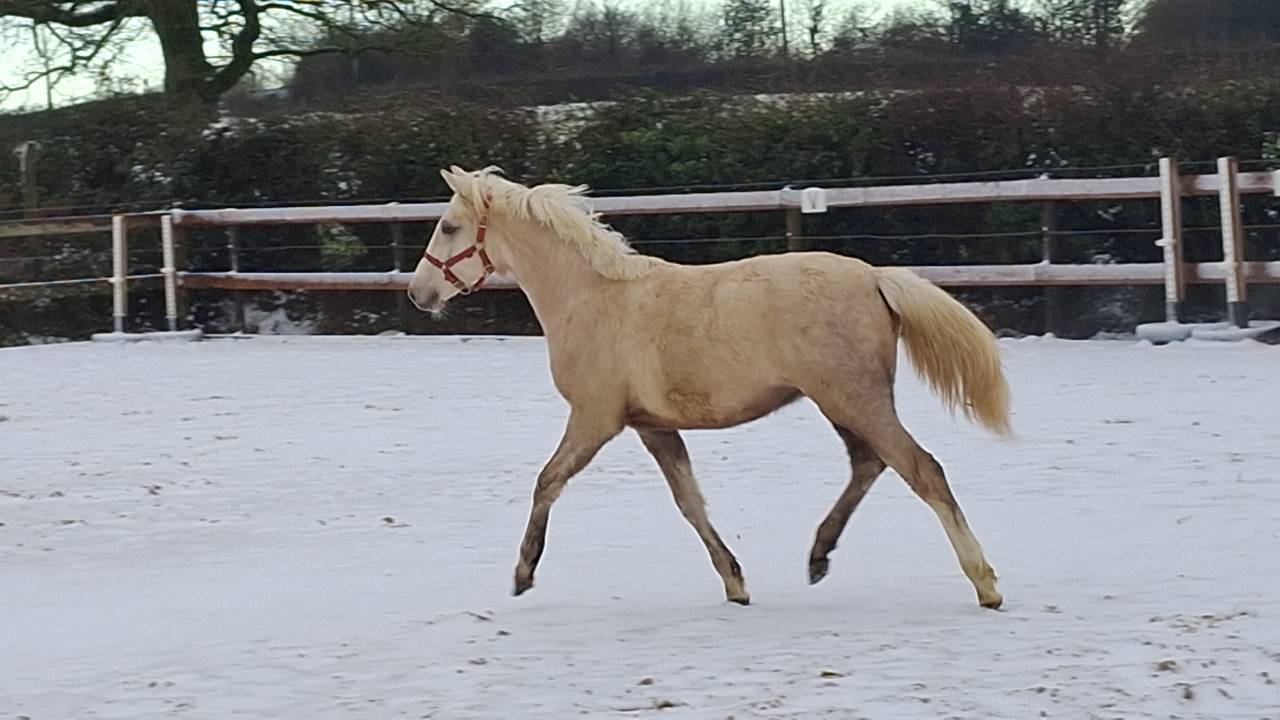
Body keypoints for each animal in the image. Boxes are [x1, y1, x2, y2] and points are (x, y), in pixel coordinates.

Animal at [407, 166, 1013, 610]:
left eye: (450, 226)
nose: (418, 293)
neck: (591, 298)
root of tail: (874, 277)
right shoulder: (650, 426)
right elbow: (690, 501)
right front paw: (735, 583)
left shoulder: (595, 418)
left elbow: (546, 482)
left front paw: (523, 572)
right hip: (843, 403)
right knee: (869, 464)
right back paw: (818, 557)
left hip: (853, 398)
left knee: (920, 469)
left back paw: (985, 583)